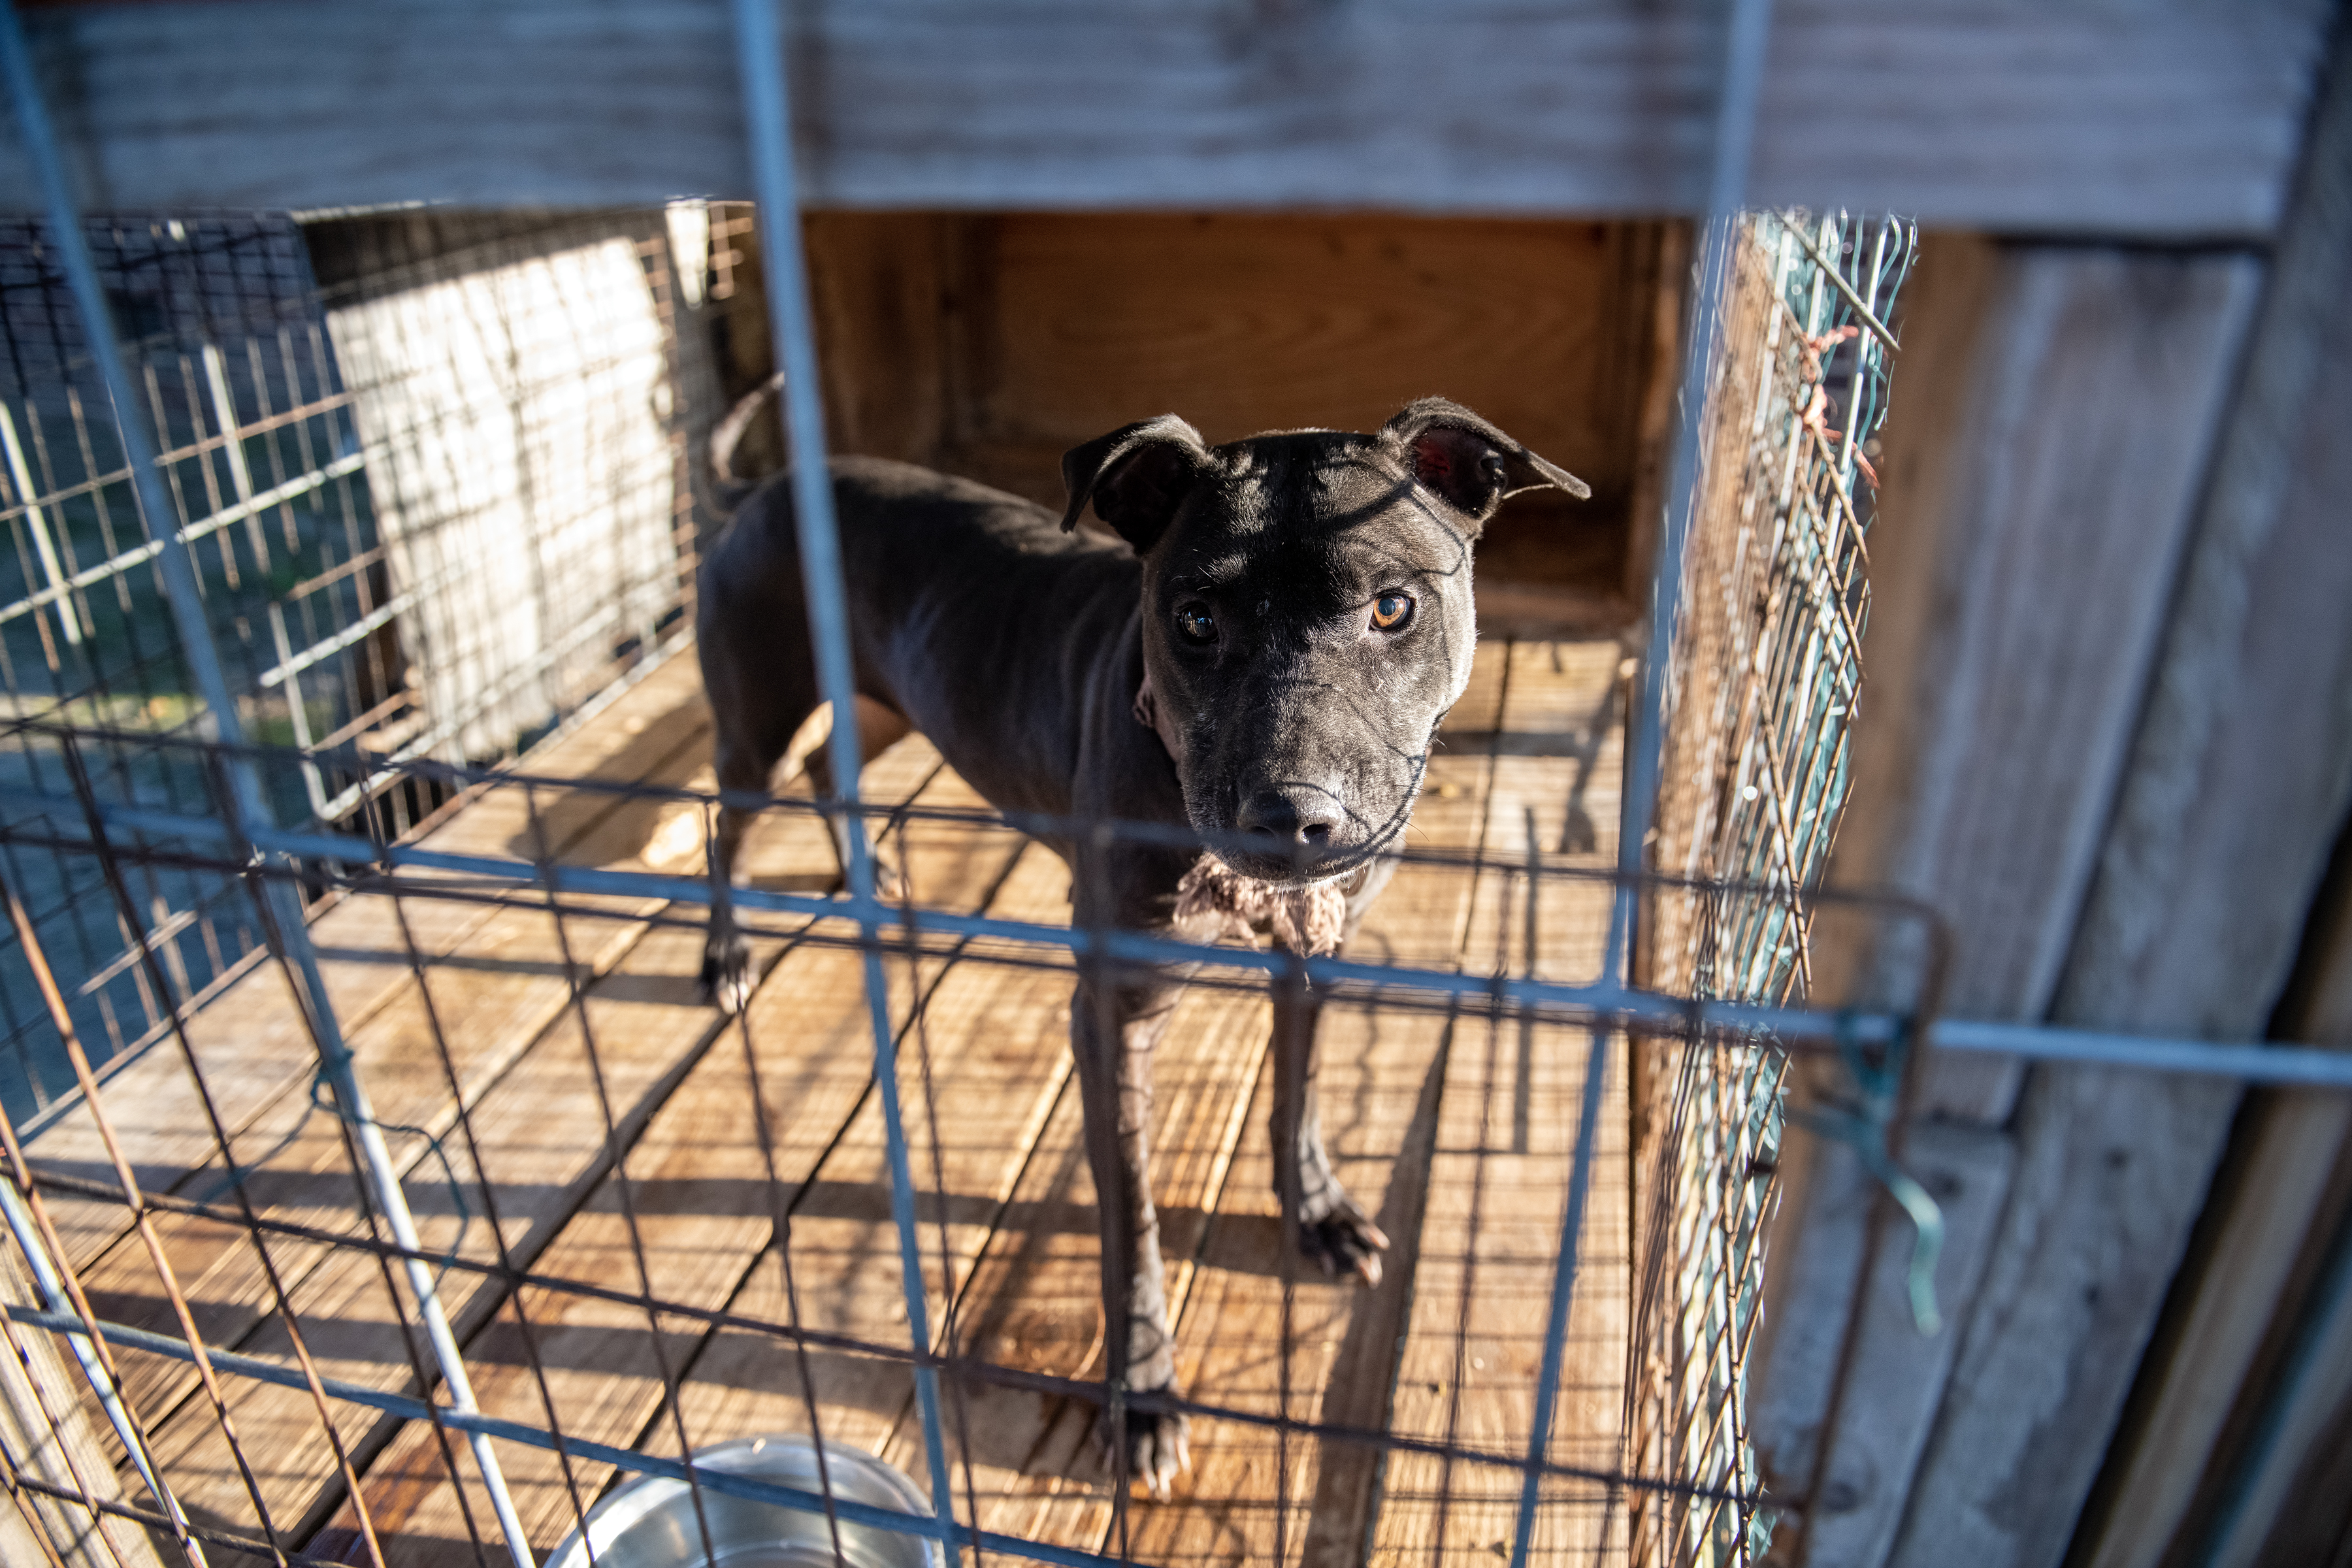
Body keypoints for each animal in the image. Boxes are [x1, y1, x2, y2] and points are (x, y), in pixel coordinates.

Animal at [691, 402, 1580, 1495]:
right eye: (1195, 620)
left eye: (1393, 607)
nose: (1292, 817)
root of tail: (767, 488)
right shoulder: (1113, 1018)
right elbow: (1131, 1225)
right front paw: (1144, 1391)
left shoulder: (1314, 956)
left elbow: (1298, 1096)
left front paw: (1318, 1214)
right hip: (758, 728)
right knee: (726, 823)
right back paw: (726, 956)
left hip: (879, 702)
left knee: (831, 768)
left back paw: (868, 873)